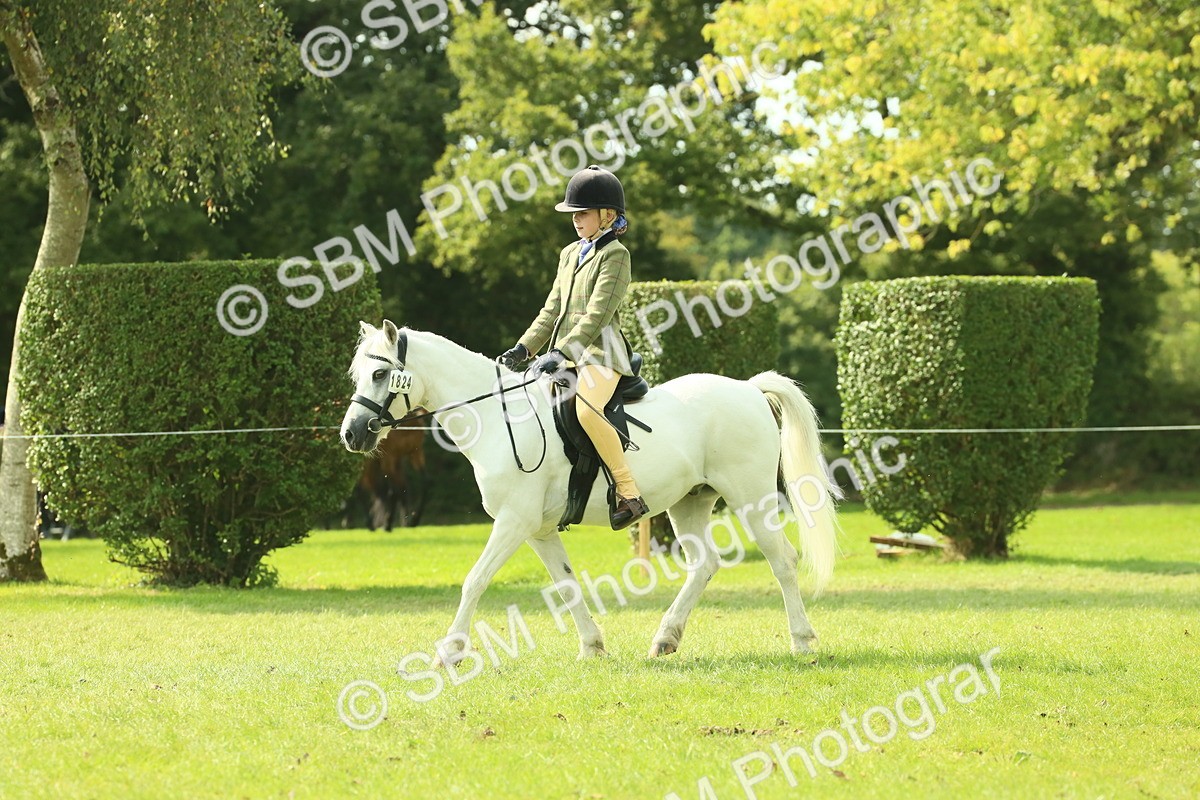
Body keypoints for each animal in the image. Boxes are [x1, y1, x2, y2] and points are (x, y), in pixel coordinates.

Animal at [340, 320, 839, 662]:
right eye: (357, 376)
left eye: (381, 376)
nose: (352, 434)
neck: (502, 418)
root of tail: (748, 389)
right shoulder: (538, 530)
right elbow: (566, 584)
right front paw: (592, 646)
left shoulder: (513, 522)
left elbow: (475, 580)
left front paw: (449, 652)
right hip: (690, 502)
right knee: (705, 565)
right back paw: (665, 639)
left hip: (750, 499)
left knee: (782, 561)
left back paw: (802, 640)